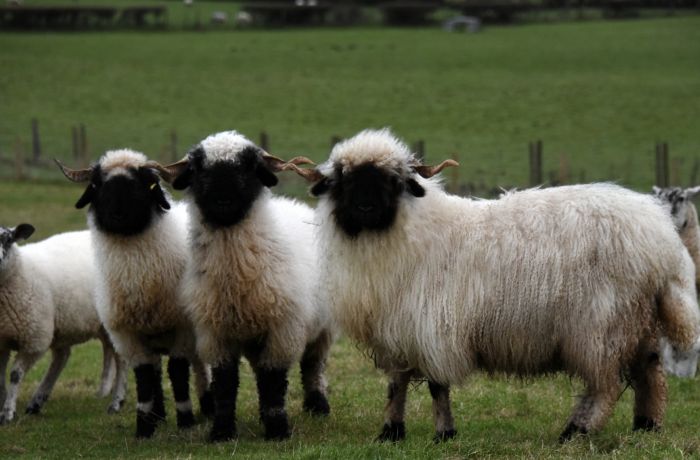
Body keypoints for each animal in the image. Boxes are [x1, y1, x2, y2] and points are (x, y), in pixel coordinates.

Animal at [0, 224, 127, 424]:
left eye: (8, 239)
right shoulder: (2, 340)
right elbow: (0, 378)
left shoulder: (35, 340)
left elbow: (14, 375)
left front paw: (7, 412)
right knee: (70, 354)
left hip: (114, 315)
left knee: (120, 358)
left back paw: (116, 402)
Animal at [56, 149, 213, 439]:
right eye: (97, 185)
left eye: (144, 184)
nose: (117, 215)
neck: (138, 278)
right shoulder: (126, 334)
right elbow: (144, 376)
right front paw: (145, 426)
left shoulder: (182, 329)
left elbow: (178, 372)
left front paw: (185, 420)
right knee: (155, 371)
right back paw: (159, 415)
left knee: (200, 367)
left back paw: (207, 406)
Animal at [151, 130, 333, 442]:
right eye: (199, 168)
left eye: (248, 167)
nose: (223, 198)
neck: (235, 278)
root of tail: (293, 204)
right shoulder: (216, 333)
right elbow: (225, 385)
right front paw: (222, 431)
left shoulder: (281, 330)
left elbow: (274, 382)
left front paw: (277, 430)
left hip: (321, 328)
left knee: (313, 365)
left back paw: (317, 405)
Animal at [286, 128, 700, 442]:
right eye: (345, 180)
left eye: (392, 180)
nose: (366, 208)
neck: (404, 233)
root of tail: (662, 241)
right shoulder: (398, 329)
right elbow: (396, 384)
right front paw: (390, 431)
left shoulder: (433, 326)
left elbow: (437, 385)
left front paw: (444, 434)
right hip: (636, 318)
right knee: (650, 370)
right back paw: (646, 425)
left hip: (600, 325)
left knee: (606, 385)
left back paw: (575, 431)